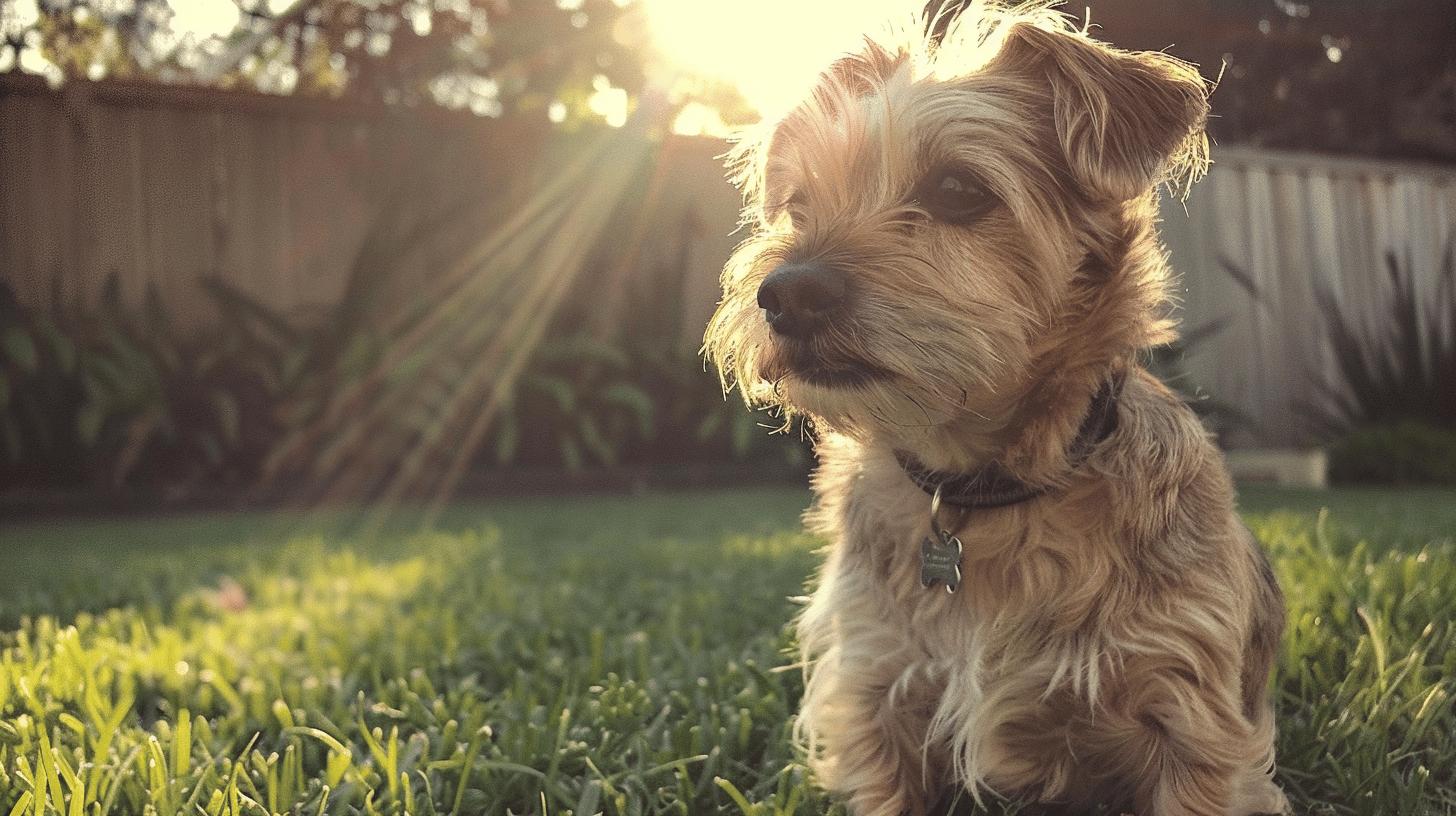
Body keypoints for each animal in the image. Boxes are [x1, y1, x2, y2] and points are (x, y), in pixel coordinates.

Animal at [704, 3, 1287, 810]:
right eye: (797, 205)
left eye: (957, 190)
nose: (786, 293)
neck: (983, 491)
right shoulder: (874, 693)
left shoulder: (1192, 720)